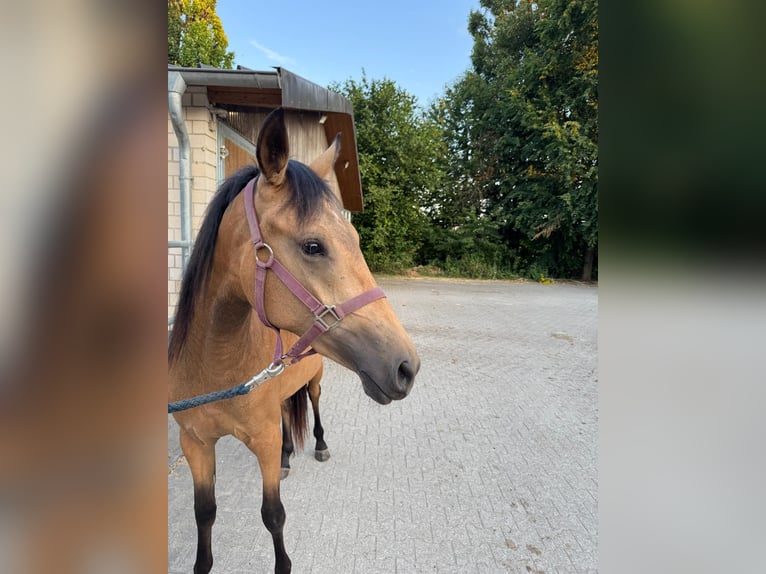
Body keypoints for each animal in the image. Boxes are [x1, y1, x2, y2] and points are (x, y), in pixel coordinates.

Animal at [168, 108, 420, 574]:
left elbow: (273, 515)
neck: (214, 365)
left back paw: (318, 446)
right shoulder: (195, 443)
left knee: (313, 408)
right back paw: (289, 456)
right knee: (288, 414)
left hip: (315, 380)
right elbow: (204, 513)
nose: (406, 367)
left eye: (355, 241)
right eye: (313, 245)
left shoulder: (262, 440)